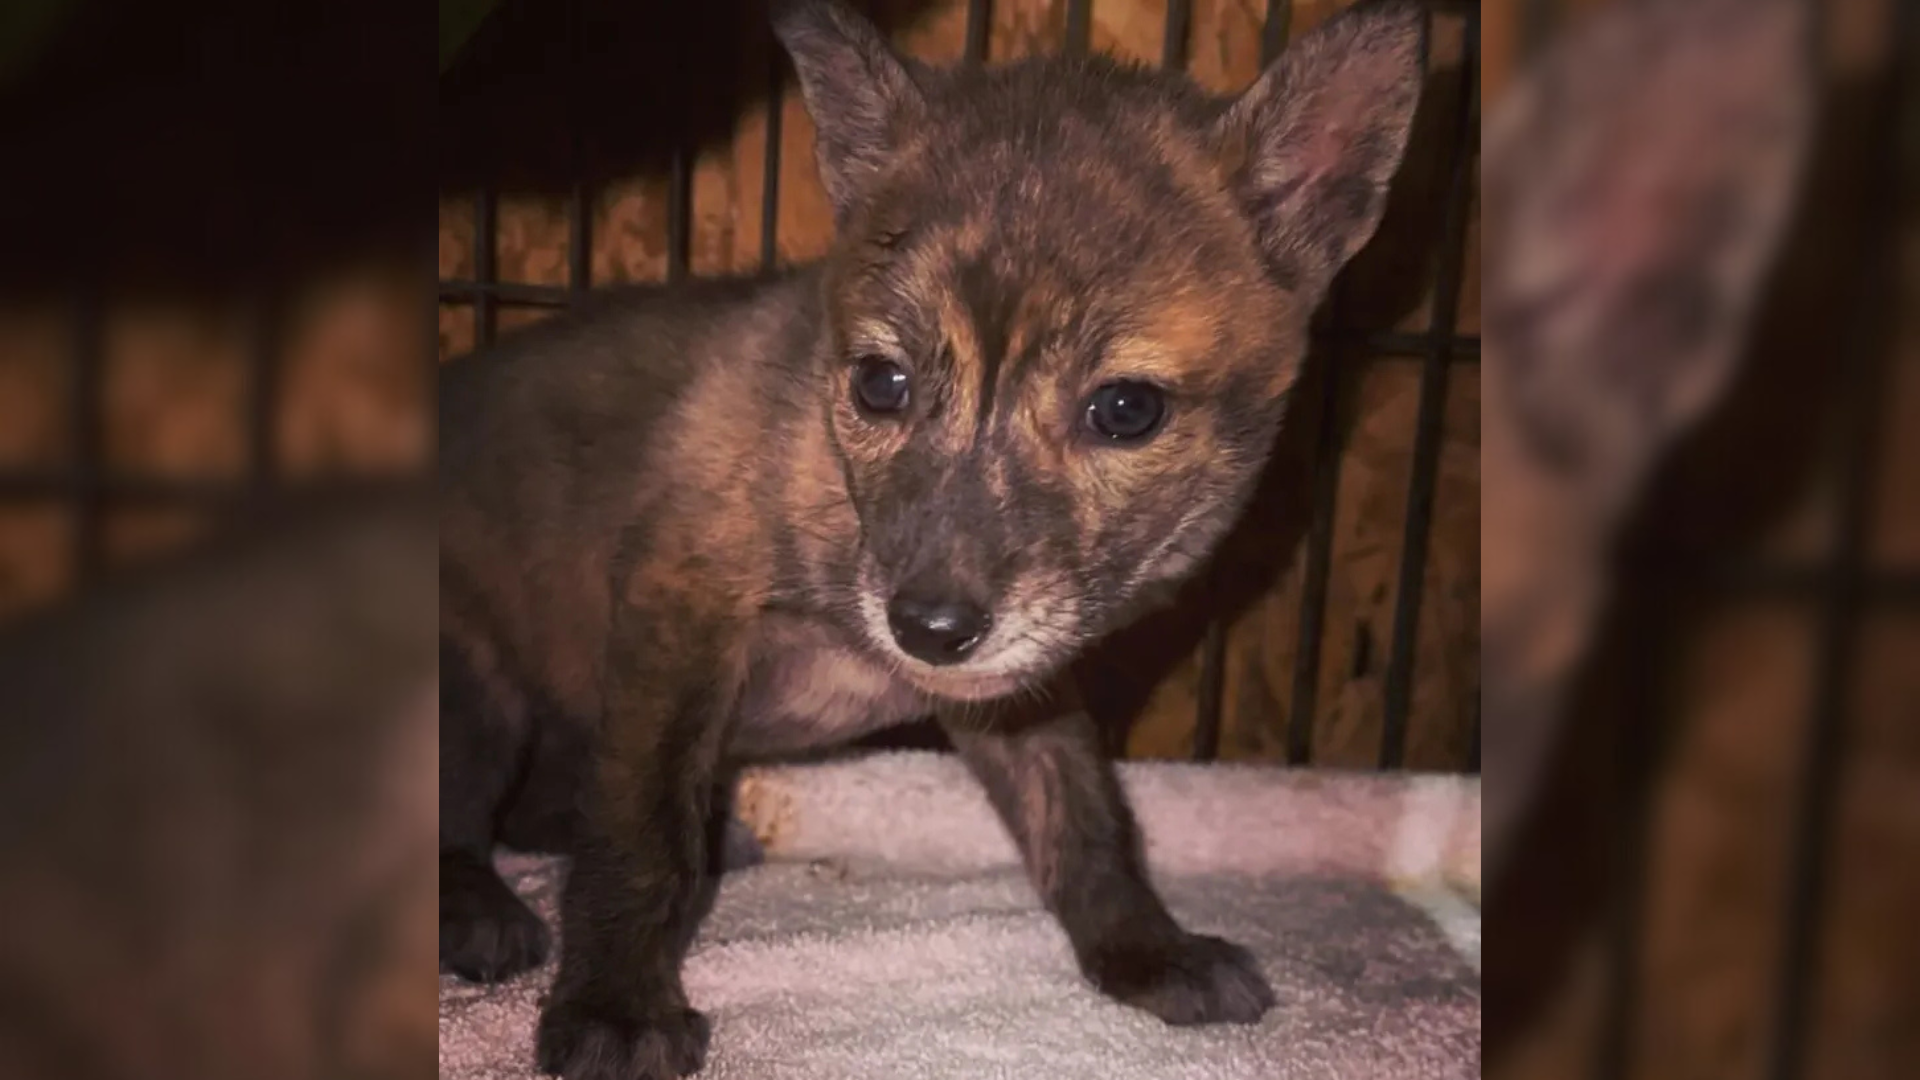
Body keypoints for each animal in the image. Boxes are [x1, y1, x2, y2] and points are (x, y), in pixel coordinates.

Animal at [436, 1, 1427, 1077]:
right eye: (882, 383)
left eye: (1125, 409)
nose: (930, 630)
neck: (830, 480)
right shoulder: (680, 596)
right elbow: (640, 833)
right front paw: (615, 1008)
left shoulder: (1019, 685)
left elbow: (1085, 820)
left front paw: (1145, 952)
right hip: (476, 693)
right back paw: (479, 910)